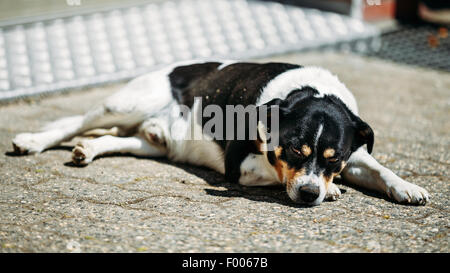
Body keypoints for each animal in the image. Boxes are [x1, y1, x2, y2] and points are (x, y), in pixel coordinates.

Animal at [12, 59, 430, 204]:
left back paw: (88, 150)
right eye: (295, 149)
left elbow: (380, 169)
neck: (306, 90)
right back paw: (32, 141)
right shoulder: (240, 164)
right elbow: (275, 173)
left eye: (335, 158)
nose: (311, 194)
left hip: (152, 144)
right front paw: (332, 190)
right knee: (74, 123)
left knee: (117, 138)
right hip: (124, 104)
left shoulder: (356, 154)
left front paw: (408, 187)